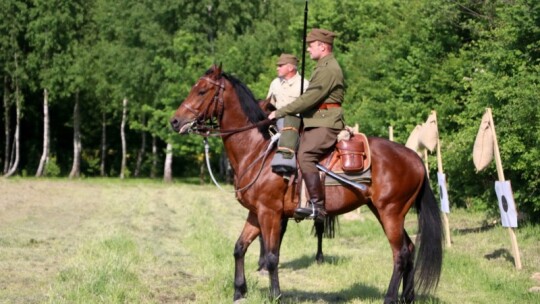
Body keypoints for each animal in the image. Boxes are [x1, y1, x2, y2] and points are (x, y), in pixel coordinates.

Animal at [170, 65, 442, 302]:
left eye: (202, 91)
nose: (175, 121)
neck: (257, 151)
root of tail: (415, 158)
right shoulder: (255, 213)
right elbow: (239, 247)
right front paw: (239, 292)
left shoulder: (270, 213)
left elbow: (272, 256)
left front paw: (275, 295)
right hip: (384, 211)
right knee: (409, 249)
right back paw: (407, 297)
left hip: (390, 213)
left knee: (400, 254)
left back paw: (389, 298)